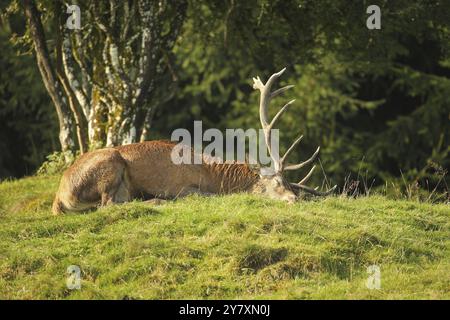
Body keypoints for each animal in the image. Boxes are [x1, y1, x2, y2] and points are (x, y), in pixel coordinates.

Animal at [51, 69, 334, 216]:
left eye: (291, 184)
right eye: (276, 183)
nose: (294, 199)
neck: (213, 175)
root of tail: (59, 197)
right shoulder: (183, 187)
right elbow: (206, 196)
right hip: (109, 164)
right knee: (107, 205)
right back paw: (157, 202)